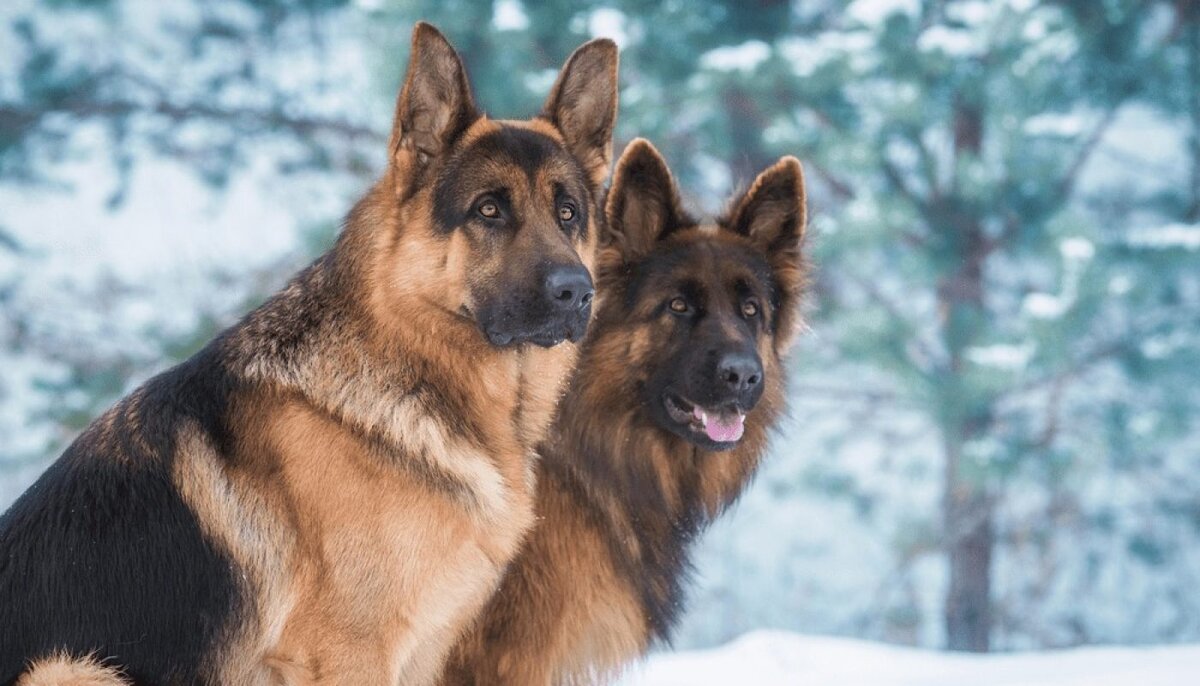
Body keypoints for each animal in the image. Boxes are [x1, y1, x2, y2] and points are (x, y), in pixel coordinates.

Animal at [0, 22, 619, 686]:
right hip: (70, 667)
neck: (407, 368)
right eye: (489, 209)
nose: (577, 292)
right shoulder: (350, 653)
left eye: (567, 213)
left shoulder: (420, 655)